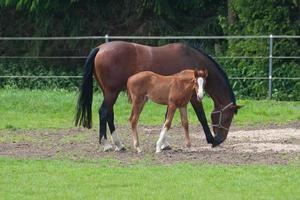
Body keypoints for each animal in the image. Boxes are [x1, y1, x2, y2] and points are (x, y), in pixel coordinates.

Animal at [75, 40, 241, 150]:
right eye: (227, 118)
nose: (220, 139)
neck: (192, 60)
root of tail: (100, 48)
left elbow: (167, 118)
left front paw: (164, 144)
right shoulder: (193, 97)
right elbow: (201, 117)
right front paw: (210, 139)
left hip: (109, 93)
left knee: (109, 114)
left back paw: (119, 144)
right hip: (111, 93)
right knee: (104, 112)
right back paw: (106, 144)